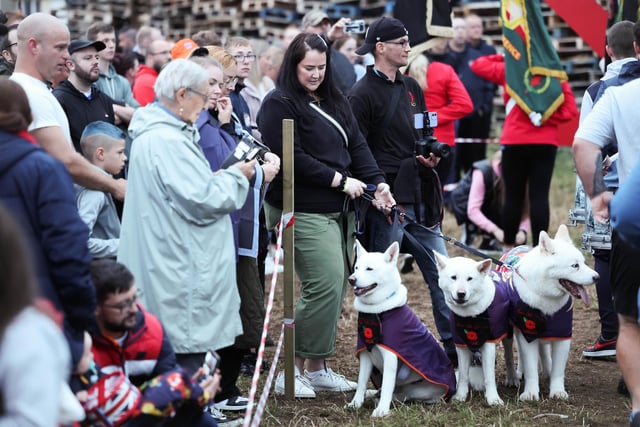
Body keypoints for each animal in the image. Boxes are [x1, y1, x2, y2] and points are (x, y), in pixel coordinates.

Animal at [344, 241, 456, 418]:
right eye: (356, 267)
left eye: (369, 269)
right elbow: (362, 382)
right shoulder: (365, 355)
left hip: (420, 390)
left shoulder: (391, 357)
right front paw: (355, 403)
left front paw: (382, 410)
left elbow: (387, 386)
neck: (378, 311)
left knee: (401, 394)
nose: (351, 279)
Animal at [432, 252, 516, 406]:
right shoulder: (460, 344)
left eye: (470, 279)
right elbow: (463, 375)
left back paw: (512, 377)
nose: (461, 293)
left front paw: (493, 399)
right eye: (453, 277)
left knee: (508, 355)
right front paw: (460, 396)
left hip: (507, 331)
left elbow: (489, 375)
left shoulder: (489, 343)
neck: (470, 314)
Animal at [500, 226, 600, 402]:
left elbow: (558, 370)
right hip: (510, 329)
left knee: (544, 350)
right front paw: (530, 393)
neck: (546, 295)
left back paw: (547, 370)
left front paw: (558, 391)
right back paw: (513, 376)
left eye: (583, 262)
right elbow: (531, 367)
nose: (597, 277)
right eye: (575, 265)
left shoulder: (562, 335)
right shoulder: (528, 332)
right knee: (510, 354)